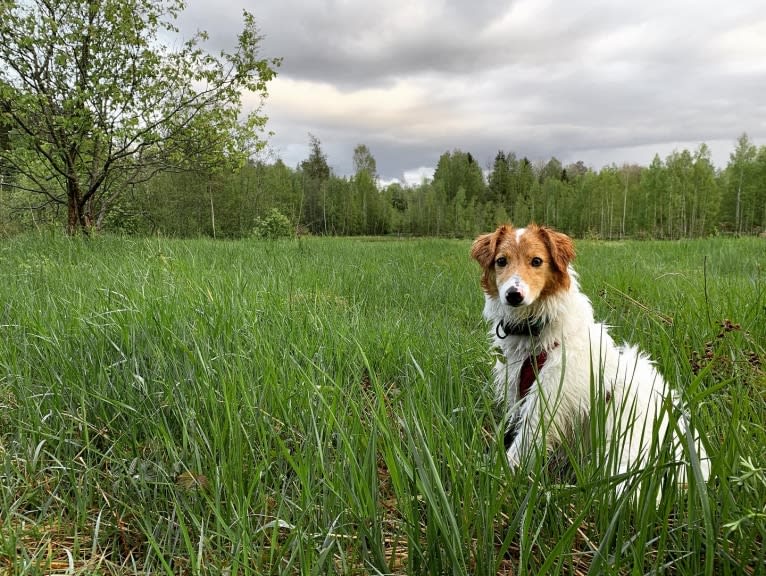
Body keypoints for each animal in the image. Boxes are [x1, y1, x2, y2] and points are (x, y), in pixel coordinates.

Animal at [472, 223, 712, 492]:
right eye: (501, 261)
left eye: (536, 261)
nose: (514, 294)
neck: (536, 336)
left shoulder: (547, 402)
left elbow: (522, 445)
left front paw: (502, 476)